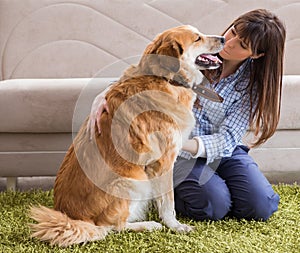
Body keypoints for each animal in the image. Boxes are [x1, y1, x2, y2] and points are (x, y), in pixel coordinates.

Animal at [29, 24, 223, 246]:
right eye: (197, 38)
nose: (224, 39)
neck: (164, 78)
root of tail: (73, 218)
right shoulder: (163, 162)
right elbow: (168, 202)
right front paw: (176, 226)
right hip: (134, 181)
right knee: (112, 227)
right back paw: (148, 225)